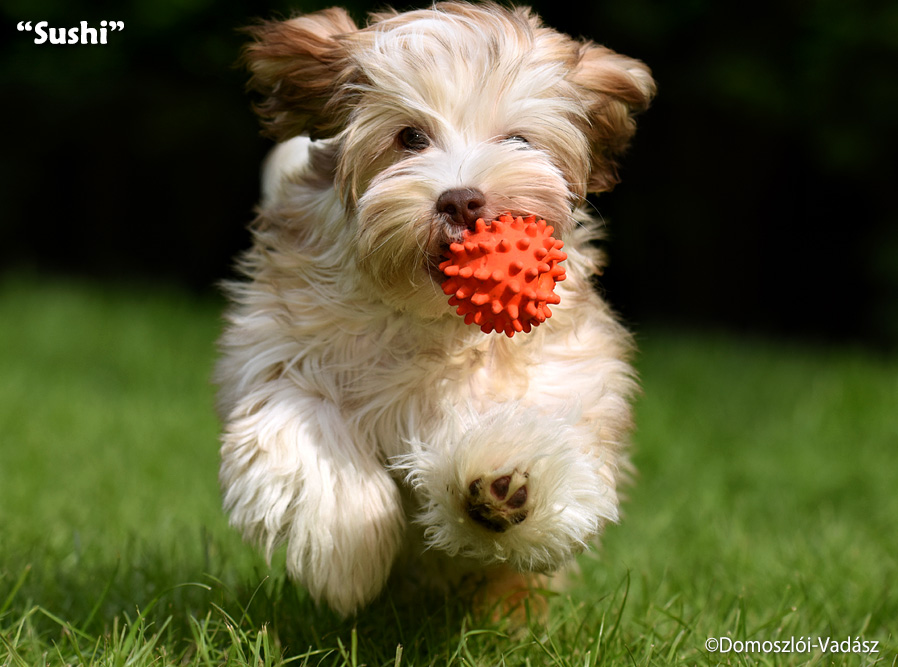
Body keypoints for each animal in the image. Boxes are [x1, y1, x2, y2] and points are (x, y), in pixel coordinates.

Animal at [217, 0, 652, 620]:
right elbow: (305, 424)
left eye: (518, 139)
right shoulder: (279, 351)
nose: (461, 200)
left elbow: (541, 434)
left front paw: (502, 484)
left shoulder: (565, 377)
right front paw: (345, 556)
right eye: (410, 137)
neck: (429, 315)